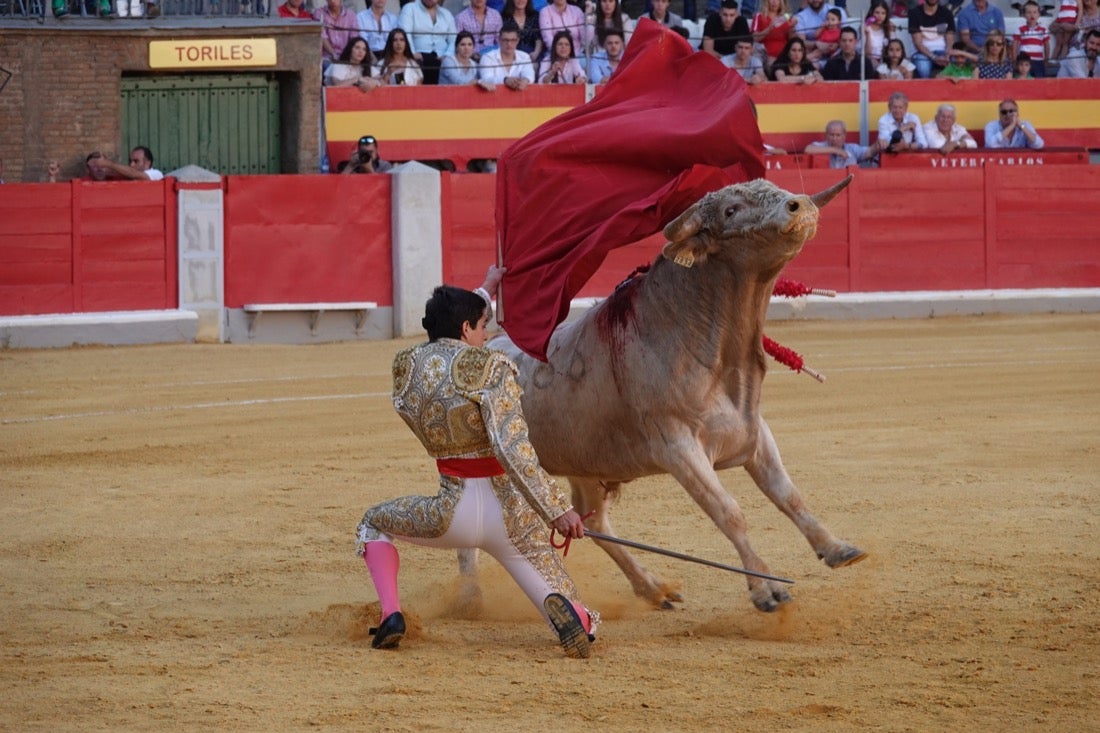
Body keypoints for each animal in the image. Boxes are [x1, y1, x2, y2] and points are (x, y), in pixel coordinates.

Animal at [468, 177, 862, 611]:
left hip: (584, 466)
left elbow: (789, 496)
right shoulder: (678, 447)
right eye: (730, 210)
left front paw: (837, 548)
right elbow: (729, 512)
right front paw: (767, 589)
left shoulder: (754, 432)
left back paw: (653, 588)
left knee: (592, 519)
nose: (801, 206)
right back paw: (470, 598)